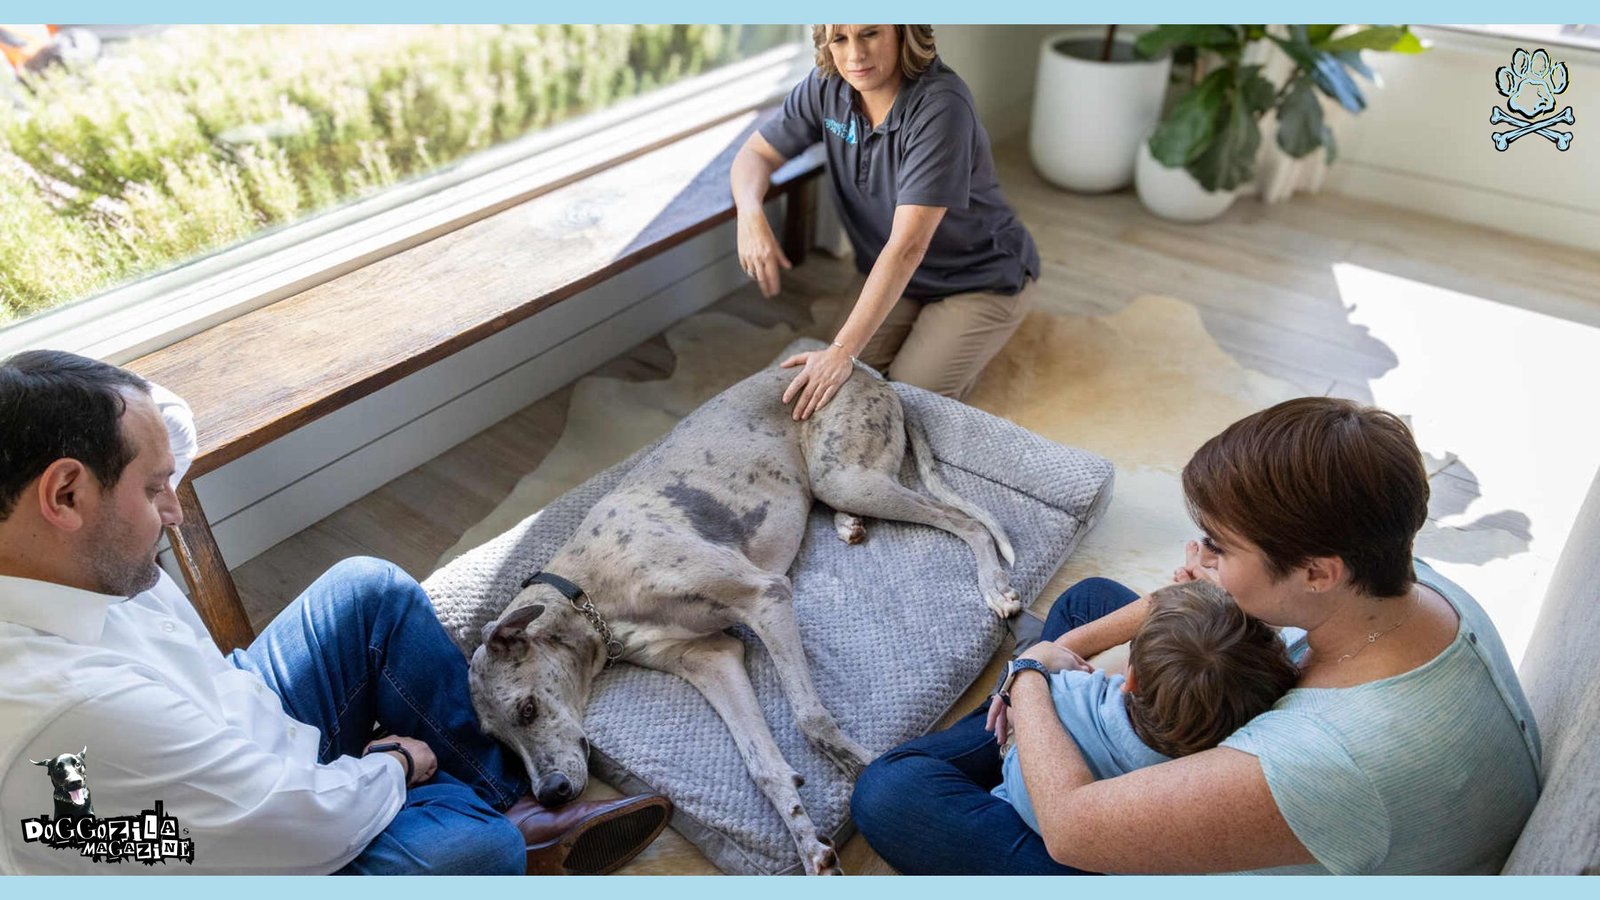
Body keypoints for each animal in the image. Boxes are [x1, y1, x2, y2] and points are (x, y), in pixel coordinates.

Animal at [467, 360, 1011, 871]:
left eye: (527, 709)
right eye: (500, 743)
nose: (551, 793)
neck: (589, 593)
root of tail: (866, 371)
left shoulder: (766, 597)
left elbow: (810, 717)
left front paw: (873, 768)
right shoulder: (714, 659)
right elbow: (761, 766)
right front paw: (810, 847)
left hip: (847, 478)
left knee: (967, 522)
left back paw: (996, 587)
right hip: (843, 481)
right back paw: (849, 525)